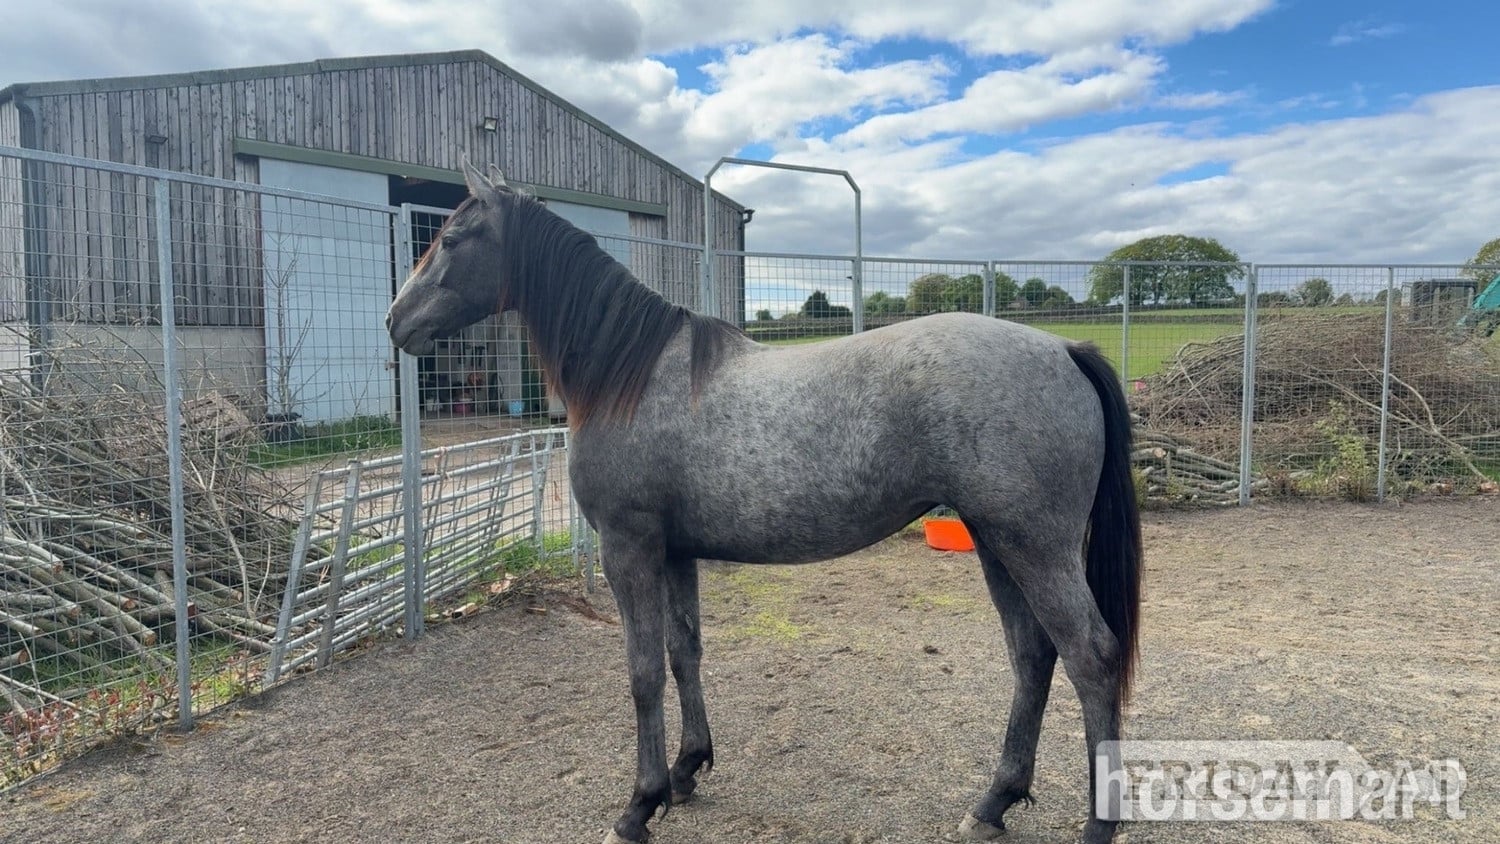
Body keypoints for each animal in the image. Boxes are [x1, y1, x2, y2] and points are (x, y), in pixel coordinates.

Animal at [386, 160, 1143, 844]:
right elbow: (683, 653)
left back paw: (1097, 825)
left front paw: (639, 806)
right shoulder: (674, 553)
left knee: (1091, 655)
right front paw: (686, 772)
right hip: (996, 542)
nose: (396, 322)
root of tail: (1065, 349)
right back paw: (993, 803)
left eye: (452, 238)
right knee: (1033, 657)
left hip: (1034, 547)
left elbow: (641, 673)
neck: (633, 376)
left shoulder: (627, 549)